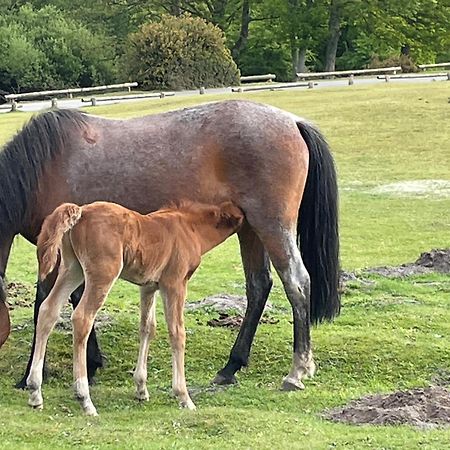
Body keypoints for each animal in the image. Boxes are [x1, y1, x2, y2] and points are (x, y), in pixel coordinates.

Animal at [0, 99, 338, 390]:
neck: (45, 170)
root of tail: (293, 122)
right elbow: (73, 299)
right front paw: (92, 362)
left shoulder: (56, 253)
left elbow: (44, 305)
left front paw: (30, 374)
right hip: (250, 230)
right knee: (258, 286)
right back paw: (231, 366)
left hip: (271, 226)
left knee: (296, 282)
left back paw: (297, 370)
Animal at [26, 200, 244, 414]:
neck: (190, 228)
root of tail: (81, 212)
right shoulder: (174, 283)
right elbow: (177, 332)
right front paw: (184, 397)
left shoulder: (148, 286)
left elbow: (148, 328)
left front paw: (141, 389)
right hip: (103, 274)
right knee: (82, 318)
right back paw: (85, 399)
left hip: (72, 269)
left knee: (48, 311)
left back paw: (35, 392)